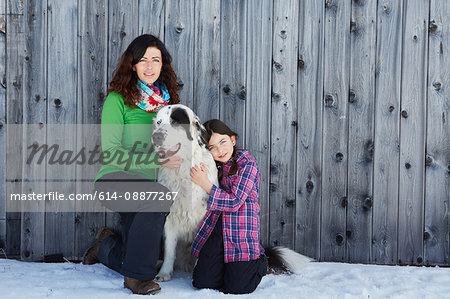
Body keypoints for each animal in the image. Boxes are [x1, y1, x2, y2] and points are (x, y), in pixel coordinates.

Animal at [151, 104, 312, 282]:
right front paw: (164, 273)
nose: (156, 137)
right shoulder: (170, 217)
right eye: (159, 122)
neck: (184, 168)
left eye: (175, 121)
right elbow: (169, 249)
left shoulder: (206, 216)